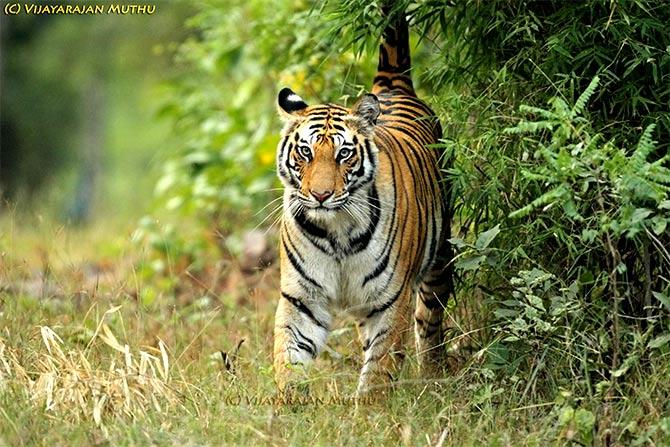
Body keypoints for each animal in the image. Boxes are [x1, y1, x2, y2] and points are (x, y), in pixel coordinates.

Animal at [274, 6, 456, 400]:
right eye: (305, 152)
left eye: (343, 154)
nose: (321, 195)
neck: (336, 230)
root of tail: (391, 85)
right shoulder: (302, 299)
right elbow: (289, 352)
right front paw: (287, 401)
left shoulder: (389, 299)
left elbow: (381, 361)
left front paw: (369, 405)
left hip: (440, 258)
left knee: (428, 321)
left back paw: (433, 374)